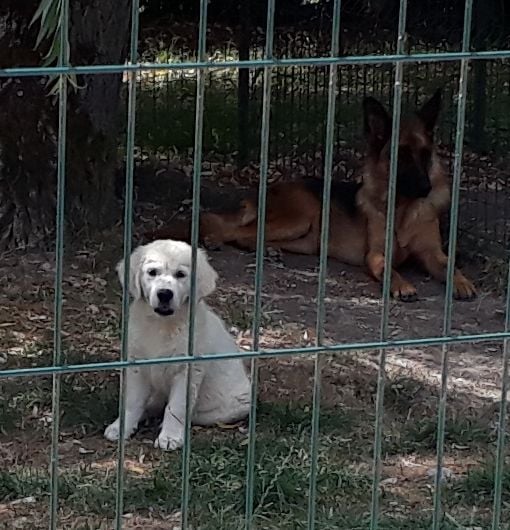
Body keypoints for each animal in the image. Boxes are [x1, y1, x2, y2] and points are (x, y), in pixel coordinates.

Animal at [104, 239, 252, 450]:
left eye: (181, 274)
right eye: (152, 272)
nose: (165, 294)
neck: (163, 325)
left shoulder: (188, 371)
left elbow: (176, 407)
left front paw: (170, 437)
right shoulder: (136, 365)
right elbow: (131, 402)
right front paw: (120, 427)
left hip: (233, 405)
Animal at [145, 88, 476, 300]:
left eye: (424, 155)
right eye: (402, 156)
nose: (425, 188)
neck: (404, 209)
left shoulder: (433, 252)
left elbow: (449, 265)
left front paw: (461, 282)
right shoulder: (377, 255)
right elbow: (388, 270)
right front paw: (401, 285)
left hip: (307, 238)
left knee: (249, 235)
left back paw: (267, 250)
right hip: (300, 216)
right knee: (232, 230)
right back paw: (216, 239)